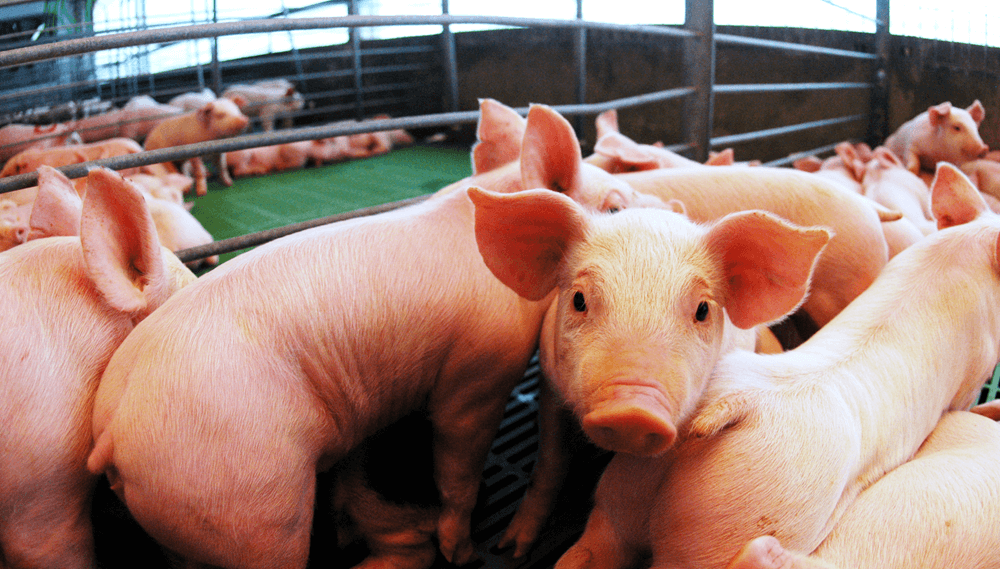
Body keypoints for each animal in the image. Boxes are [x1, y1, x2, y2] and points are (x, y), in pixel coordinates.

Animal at [85, 103, 667, 569]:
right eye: (615, 206)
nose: (677, 209)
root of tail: (111, 431)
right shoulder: (477, 373)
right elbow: (457, 465)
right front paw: (463, 553)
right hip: (245, 501)